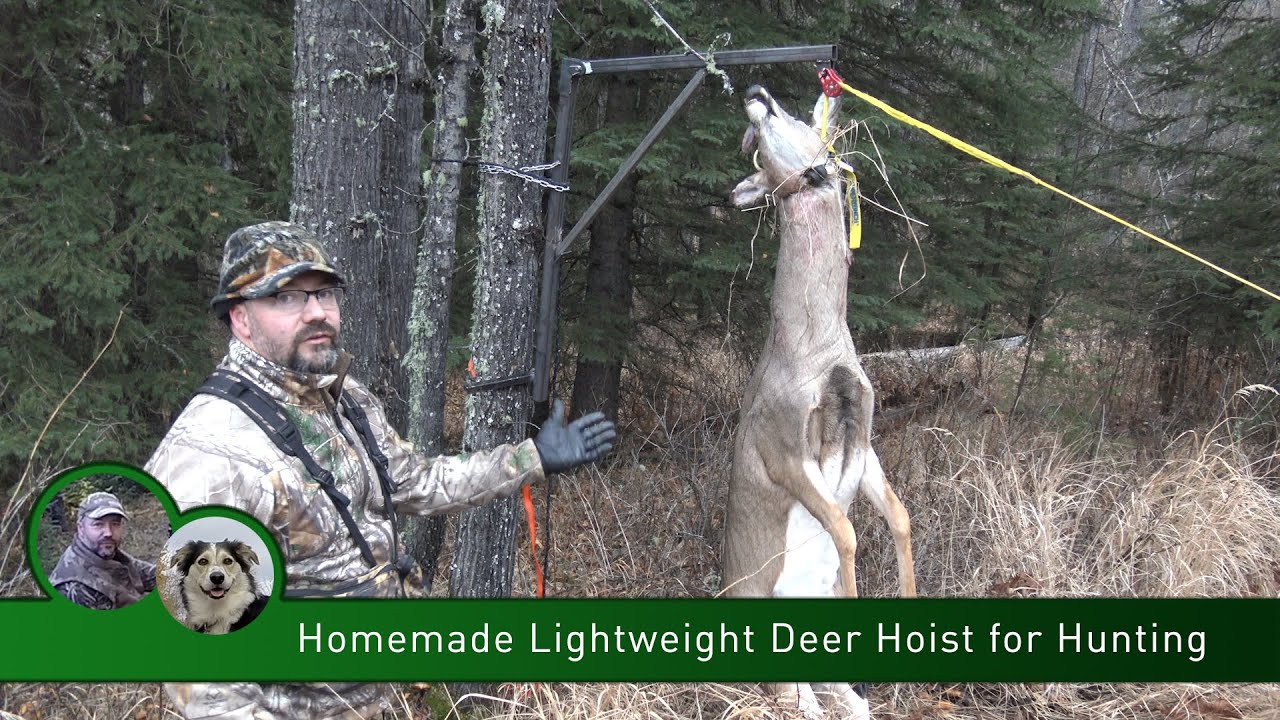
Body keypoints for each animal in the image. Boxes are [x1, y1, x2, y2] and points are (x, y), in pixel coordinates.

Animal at [721, 85, 917, 720]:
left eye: (797, 115)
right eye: (755, 147)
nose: (755, 93)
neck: (816, 349)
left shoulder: (866, 434)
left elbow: (899, 517)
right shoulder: (784, 445)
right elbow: (847, 530)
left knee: (831, 699)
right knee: (792, 697)